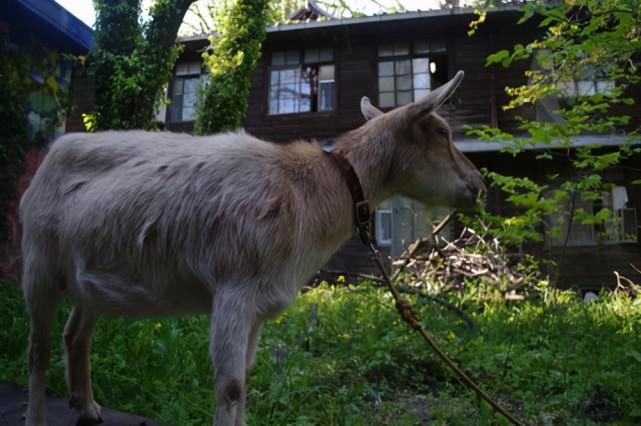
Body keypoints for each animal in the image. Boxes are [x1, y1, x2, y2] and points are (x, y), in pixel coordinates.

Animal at [21, 70, 484, 426]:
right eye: (441, 132)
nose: (478, 185)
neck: (316, 188)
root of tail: (51, 156)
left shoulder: (260, 304)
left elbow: (244, 381)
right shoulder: (233, 291)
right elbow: (229, 387)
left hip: (87, 278)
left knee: (75, 334)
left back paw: (88, 406)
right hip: (37, 265)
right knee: (37, 352)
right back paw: (38, 415)